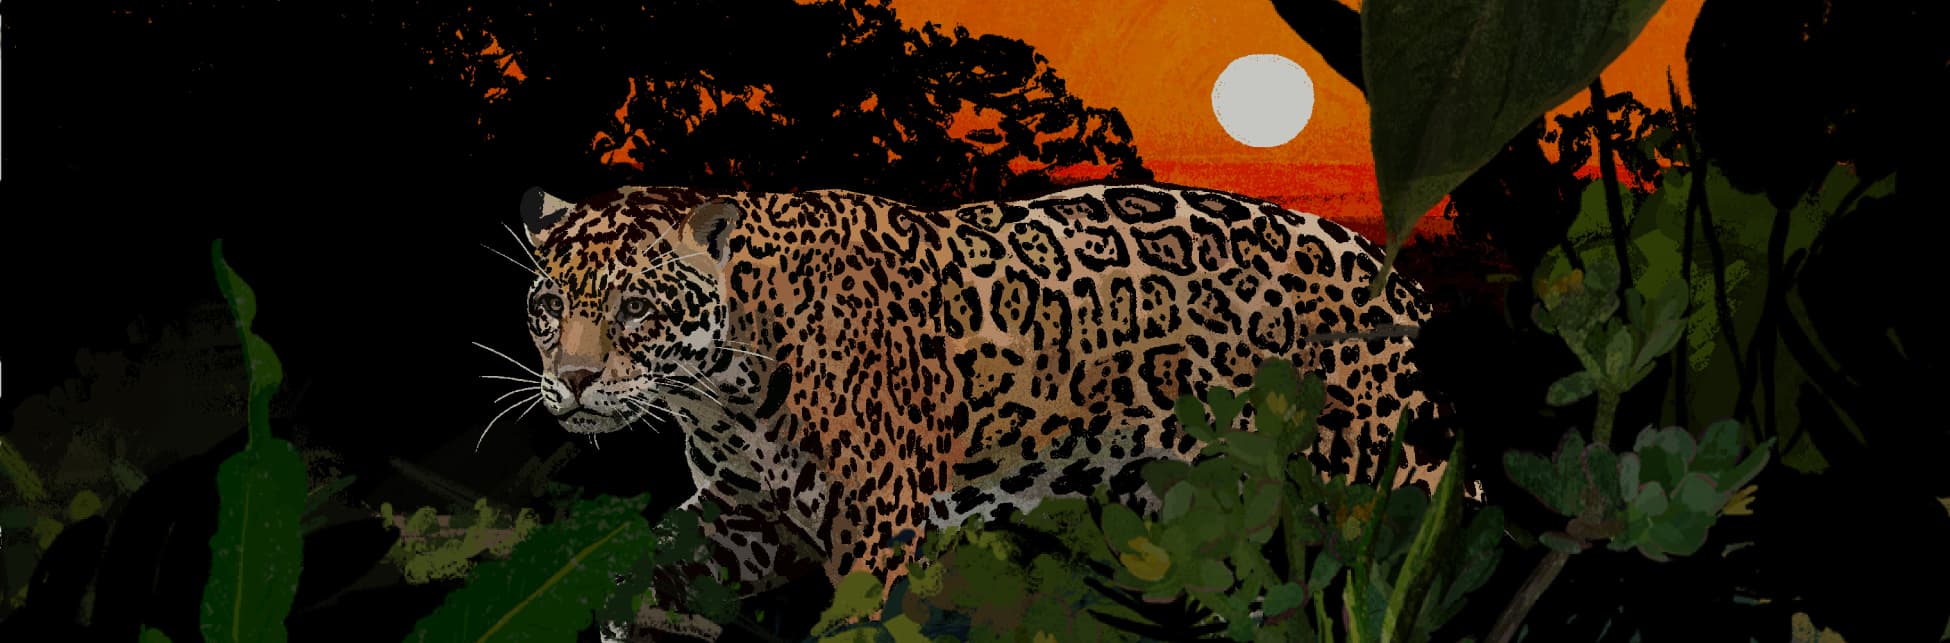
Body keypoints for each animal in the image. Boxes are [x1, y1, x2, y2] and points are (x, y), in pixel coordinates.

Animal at [510, 181, 1460, 639]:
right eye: (549, 304)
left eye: (637, 308)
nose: (575, 379)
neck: (722, 391)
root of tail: (1406, 282)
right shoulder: (741, 524)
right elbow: (653, 562)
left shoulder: (876, 527)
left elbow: (855, 622)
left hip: (1389, 489)